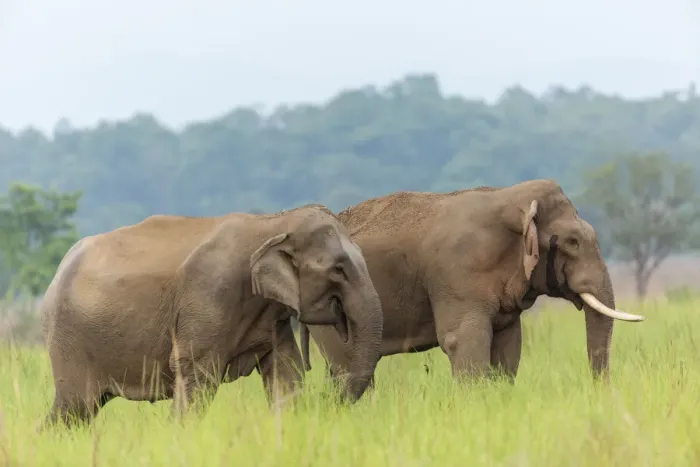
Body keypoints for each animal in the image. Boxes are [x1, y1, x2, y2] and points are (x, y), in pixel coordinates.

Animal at [39, 204, 383, 428]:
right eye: (338, 269)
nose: (327, 401)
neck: (272, 223)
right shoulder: (211, 293)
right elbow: (197, 373)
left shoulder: (271, 314)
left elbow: (286, 370)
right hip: (70, 337)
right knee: (76, 406)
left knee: (75, 410)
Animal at [300, 179, 645, 387]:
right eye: (572, 242)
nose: (600, 391)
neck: (509, 197)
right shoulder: (457, 274)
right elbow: (463, 340)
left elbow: (508, 345)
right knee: (349, 364)